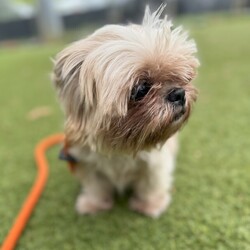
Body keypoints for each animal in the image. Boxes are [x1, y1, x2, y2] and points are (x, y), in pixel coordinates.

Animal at [52, 5, 199, 217]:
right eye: (141, 89)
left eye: (181, 77)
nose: (178, 93)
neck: (120, 147)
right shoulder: (85, 162)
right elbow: (96, 186)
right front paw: (95, 204)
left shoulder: (155, 164)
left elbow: (151, 184)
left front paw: (150, 205)